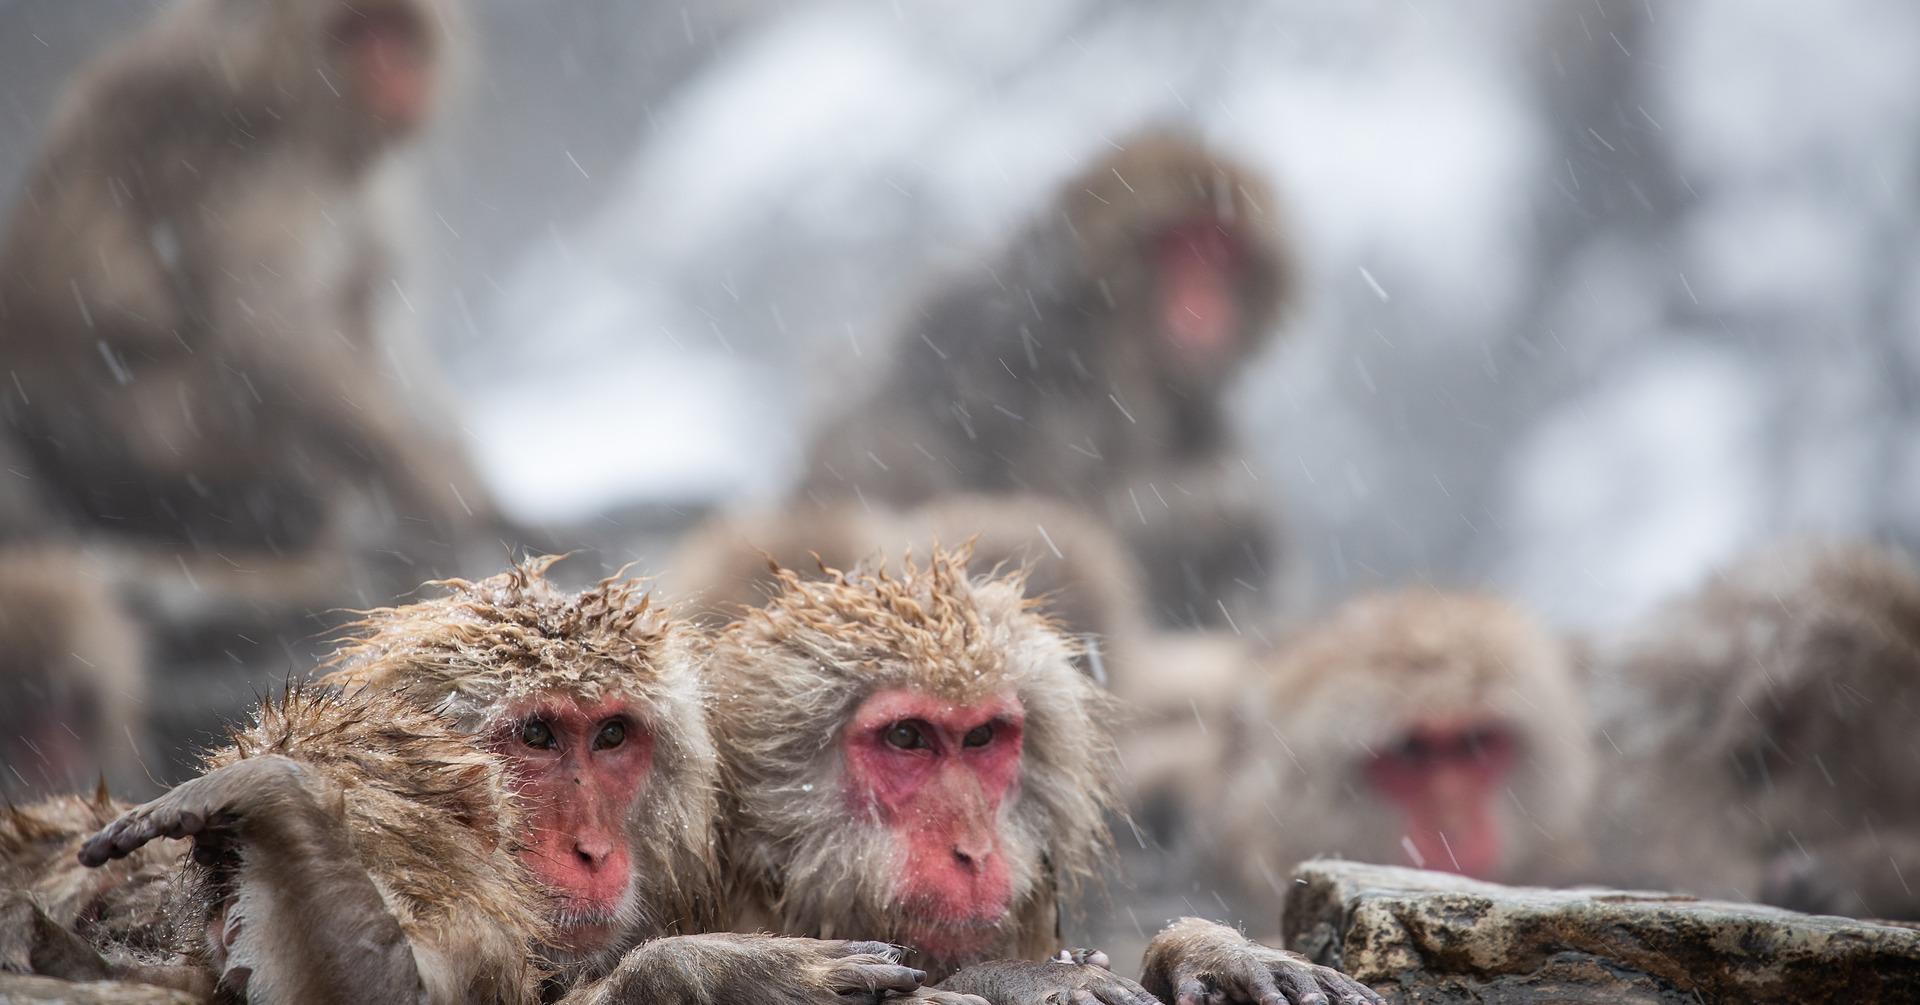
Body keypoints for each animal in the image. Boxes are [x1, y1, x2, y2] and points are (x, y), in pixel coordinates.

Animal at [0, 0, 494, 560]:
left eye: (396, 28)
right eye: (356, 32)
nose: (395, 69)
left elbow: (368, 302)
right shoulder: (254, 171)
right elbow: (269, 340)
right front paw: (441, 486)